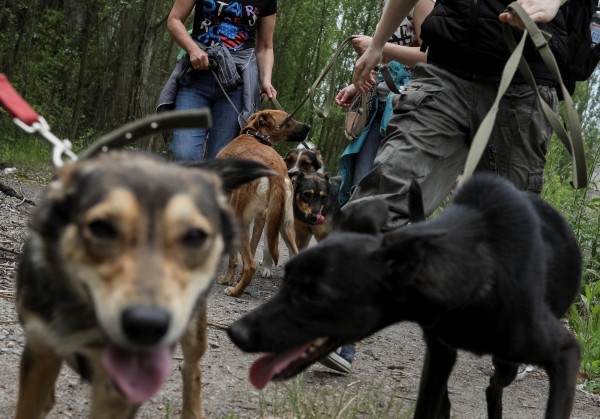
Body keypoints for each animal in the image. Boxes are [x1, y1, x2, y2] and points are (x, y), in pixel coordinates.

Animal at [14, 152, 272, 419]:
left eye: (195, 236)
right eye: (101, 227)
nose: (146, 325)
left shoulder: (117, 391)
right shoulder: (39, 351)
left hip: (193, 331)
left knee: (192, 368)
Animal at [216, 110, 312, 296]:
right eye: (289, 120)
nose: (309, 126)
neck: (254, 135)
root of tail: (275, 171)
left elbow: (233, 257)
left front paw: (227, 279)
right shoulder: (260, 220)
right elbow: (251, 250)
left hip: (241, 220)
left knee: (251, 265)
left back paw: (235, 291)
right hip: (285, 226)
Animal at [229, 175, 580, 419]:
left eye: (315, 294)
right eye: (288, 278)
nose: (235, 332)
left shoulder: (567, 353)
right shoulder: (440, 351)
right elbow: (427, 405)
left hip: (506, 362)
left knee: (494, 386)